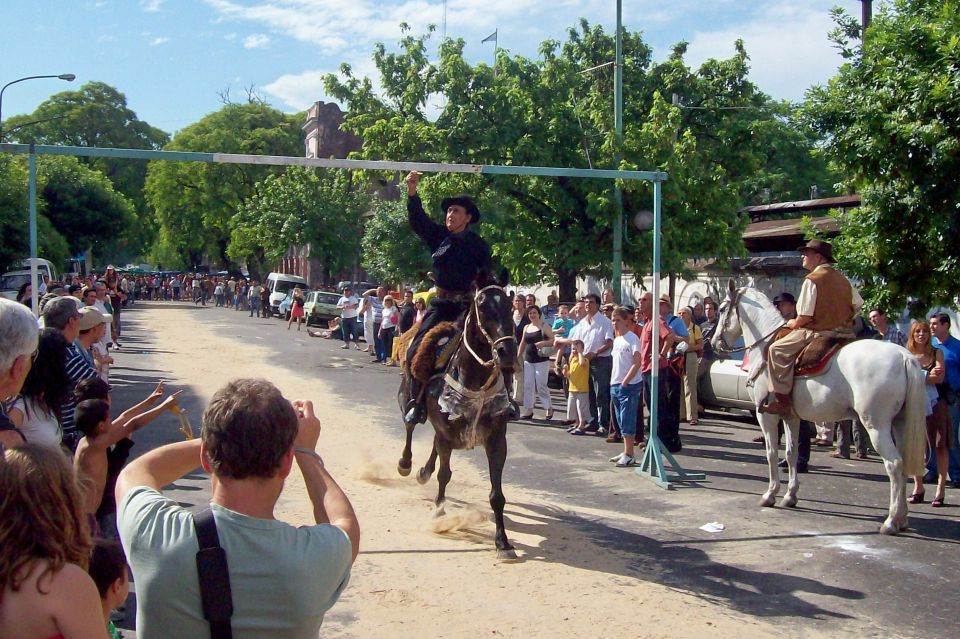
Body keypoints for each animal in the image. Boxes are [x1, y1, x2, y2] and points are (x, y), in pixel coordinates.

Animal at [396, 280, 520, 560]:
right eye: (483, 306)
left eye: (510, 305)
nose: (506, 351)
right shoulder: (446, 433)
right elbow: (445, 474)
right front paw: (439, 513)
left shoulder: (497, 441)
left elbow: (497, 495)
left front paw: (502, 542)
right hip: (408, 398)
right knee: (410, 425)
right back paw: (406, 464)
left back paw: (423, 472)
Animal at [712, 282, 928, 536]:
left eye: (722, 309)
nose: (715, 343)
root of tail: (904, 356)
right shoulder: (790, 417)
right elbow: (791, 453)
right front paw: (790, 496)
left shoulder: (765, 415)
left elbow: (771, 453)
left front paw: (770, 494)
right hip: (900, 424)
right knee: (903, 466)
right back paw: (902, 518)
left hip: (876, 426)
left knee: (894, 465)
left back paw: (891, 521)